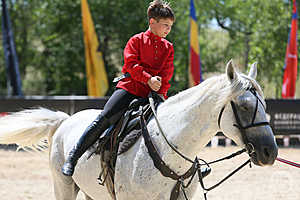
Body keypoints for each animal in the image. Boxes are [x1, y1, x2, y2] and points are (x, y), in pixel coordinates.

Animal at [0, 60, 278, 199]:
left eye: (265, 105)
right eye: (244, 106)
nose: (270, 152)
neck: (167, 149)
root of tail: (64, 121)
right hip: (63, 186)